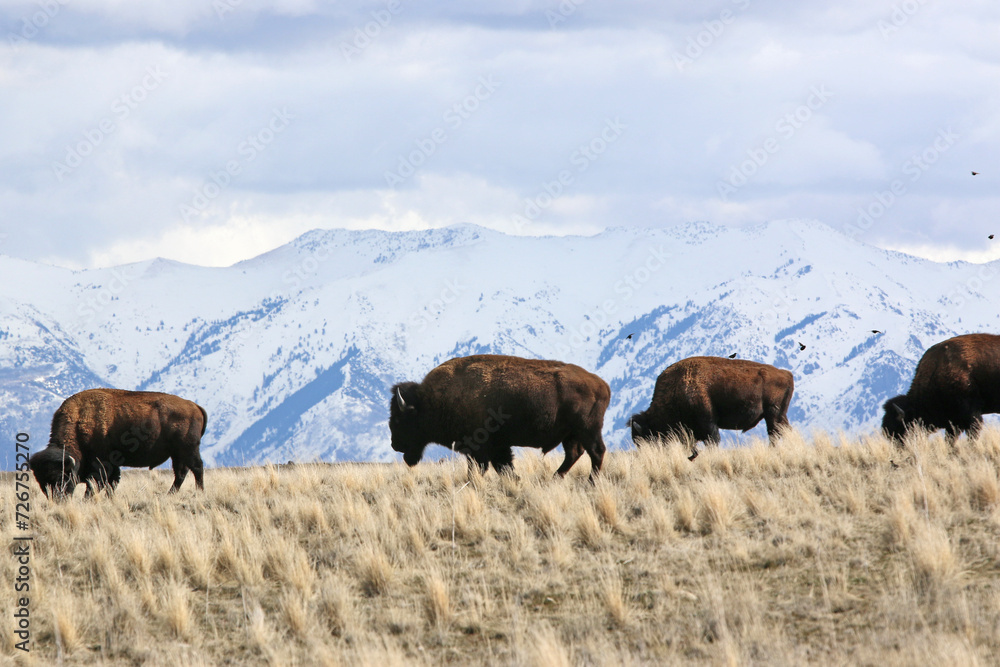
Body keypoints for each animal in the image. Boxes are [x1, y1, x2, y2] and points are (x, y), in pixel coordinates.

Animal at [28, 388, 207, 498]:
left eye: (62, 477)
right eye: (41, 481)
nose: (58, 499)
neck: (79, 422)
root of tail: (194, 405)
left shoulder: (101, 464)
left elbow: (96, 484)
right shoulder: (112, 466)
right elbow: (111, 483)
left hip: (188, 449)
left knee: (196, 468)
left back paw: (200, 492)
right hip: (177, 454)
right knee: (181, 473)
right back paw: (170, 494)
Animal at [388, 354, 608, 480]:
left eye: (399, 419)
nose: (395, 445)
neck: (432, 400)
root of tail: (602, 385)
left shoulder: (480, 448)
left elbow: (483, 468)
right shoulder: (498, 446)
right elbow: (503, 467)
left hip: (587, 430)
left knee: (596, 451)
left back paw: (592, 481)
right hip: (571, 434)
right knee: (575, 453)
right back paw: (556, 477)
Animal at [628, 360, 792, 460]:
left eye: (646, 439)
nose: (647, 455)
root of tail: (786, 374)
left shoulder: (708, 424)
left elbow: (712, 441)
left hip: (772, 414)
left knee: (774, 433)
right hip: (779, 415)